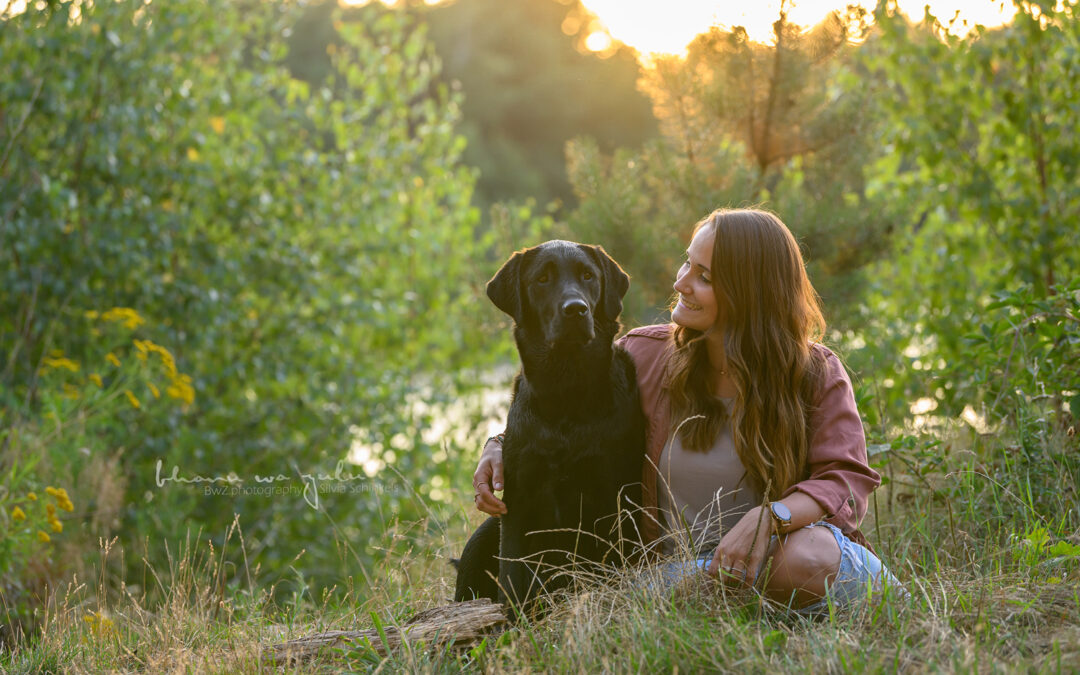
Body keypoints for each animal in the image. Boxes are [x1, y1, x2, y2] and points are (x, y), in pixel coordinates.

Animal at [453, 239, 643, 613]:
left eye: (588, 276)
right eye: (542, 279)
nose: (576, 310)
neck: (566, 392)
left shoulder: (617, 493)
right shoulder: (517, 499)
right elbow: (512, 578)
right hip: (484, 534)